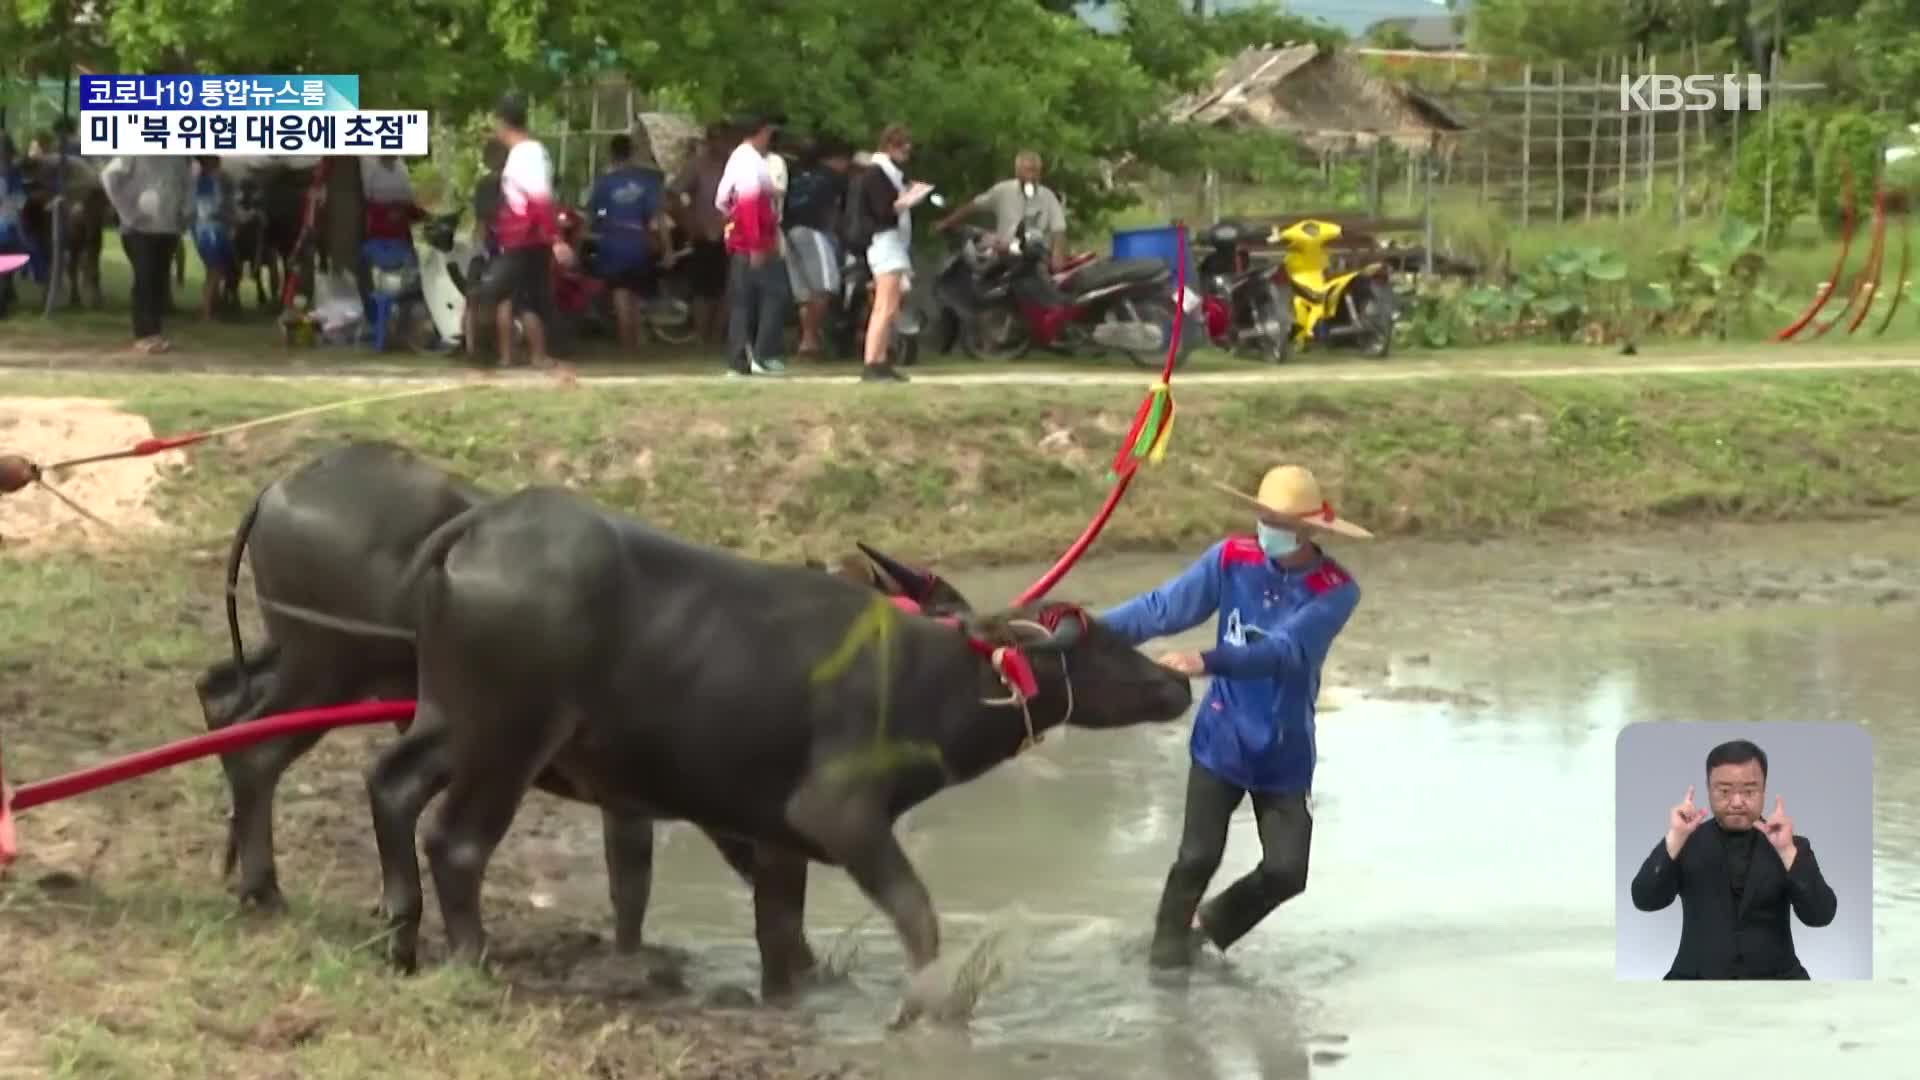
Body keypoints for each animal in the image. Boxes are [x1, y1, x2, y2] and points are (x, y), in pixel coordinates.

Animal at [364, 488, 1190, 999]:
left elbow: (781, 936)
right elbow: (918, 916)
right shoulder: (840, 817)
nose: (1175, 687)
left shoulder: (769, 837)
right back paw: (471, 963)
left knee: (391, 785)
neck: (927, 681)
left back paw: (400, 939)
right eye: (1094, 640)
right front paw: (933, 1001)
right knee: (458, 841)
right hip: (509, 738)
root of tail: (480, 527)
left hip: (447, 720)